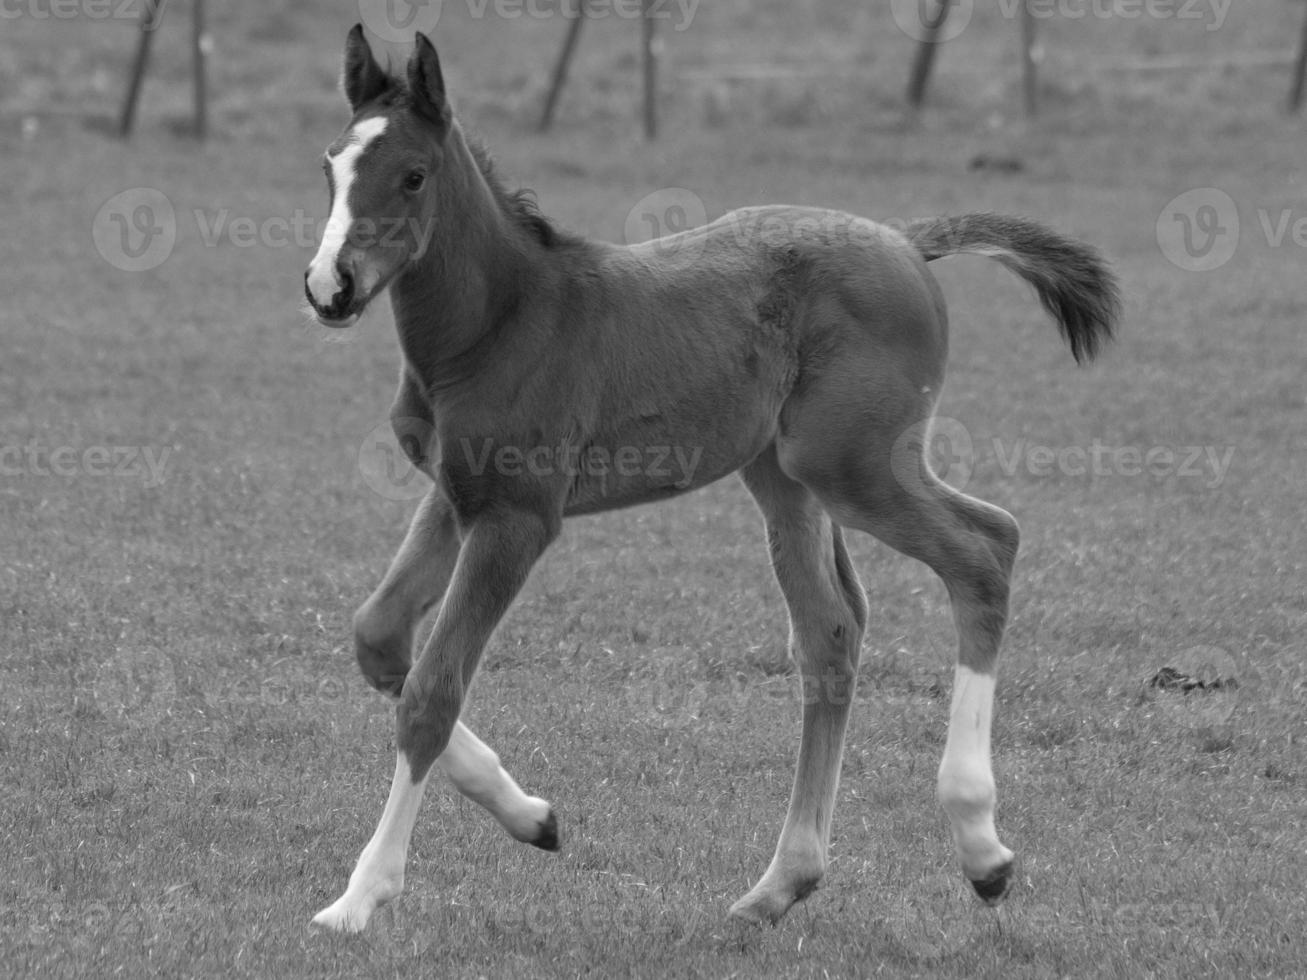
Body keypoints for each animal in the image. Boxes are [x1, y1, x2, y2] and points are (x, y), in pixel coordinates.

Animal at [300, 24, 1118, 935]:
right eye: (332, 165)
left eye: (412, 174)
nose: (330, 286)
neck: (499, 324)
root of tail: (907, 240)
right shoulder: (455, 496)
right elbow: (378, 639)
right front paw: (533, 816)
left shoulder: (518, 516)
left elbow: (430, 696)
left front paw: (361, 895)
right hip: (784, 476)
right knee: (831, 632)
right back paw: (781, 884)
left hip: (851, 464)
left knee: (985, 547)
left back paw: (981, 847)